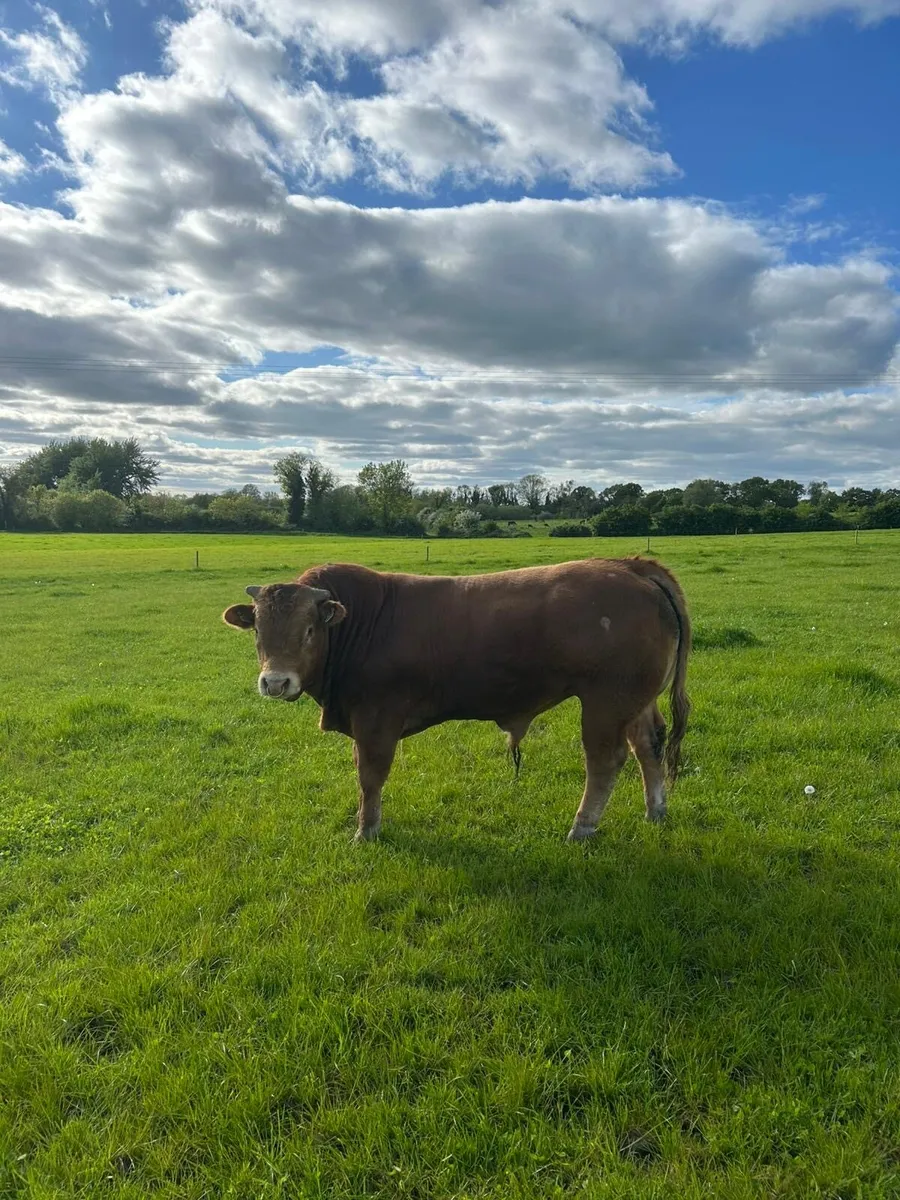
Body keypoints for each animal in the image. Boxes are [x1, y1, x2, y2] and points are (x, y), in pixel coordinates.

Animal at [222, 557, 691, 843]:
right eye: (258, 630)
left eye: (308, 630)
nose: (275, 682)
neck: (362, 623)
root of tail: (628, 566)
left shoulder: (375, 718)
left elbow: (369, 776)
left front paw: (366, 831)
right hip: (635, 700)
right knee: (649, 745)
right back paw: (656, 811)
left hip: (606, 700)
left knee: (605, 761)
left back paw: (582, 828)